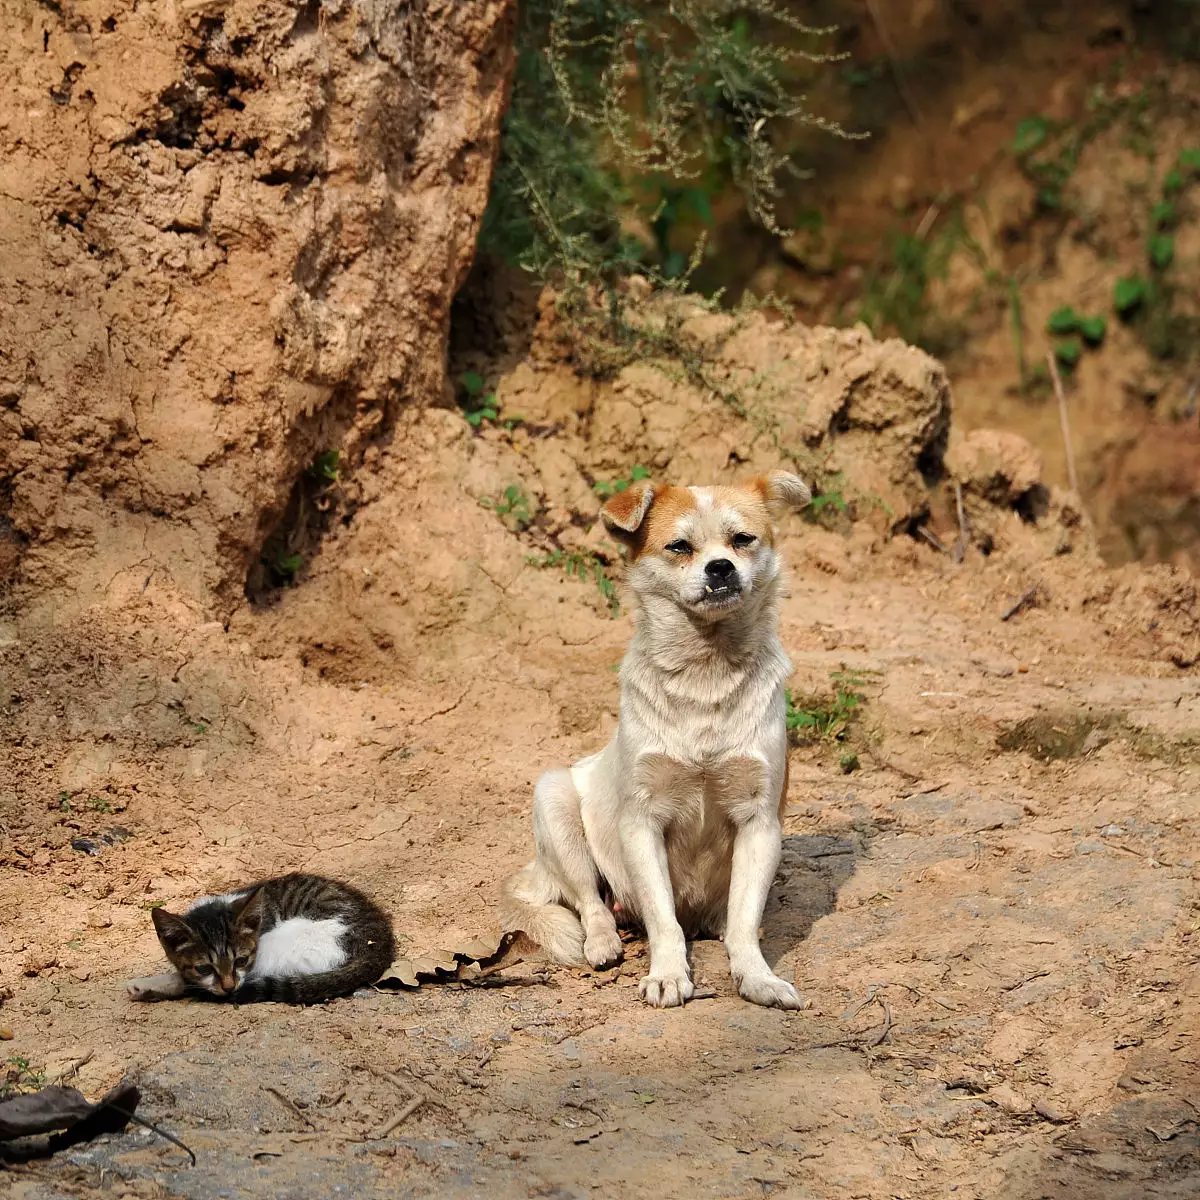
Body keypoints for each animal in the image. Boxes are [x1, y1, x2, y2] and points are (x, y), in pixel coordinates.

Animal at [127, 873, 398, 1003]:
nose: (228, 986)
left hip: (283, 944)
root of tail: (378, 944)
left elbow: (190, 980)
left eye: (241, 960)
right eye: (204, 967)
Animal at [492, 468, 811, 1003]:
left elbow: (746, 920)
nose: (720, 568)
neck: (706, 672)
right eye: (679, 546)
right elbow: (664, 919)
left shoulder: (761, 822)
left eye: (742, 540)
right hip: (553, 799)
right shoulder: (642, 822)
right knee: (591, 902)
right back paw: (602, 943)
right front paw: (667, 975)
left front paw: (757, 977)